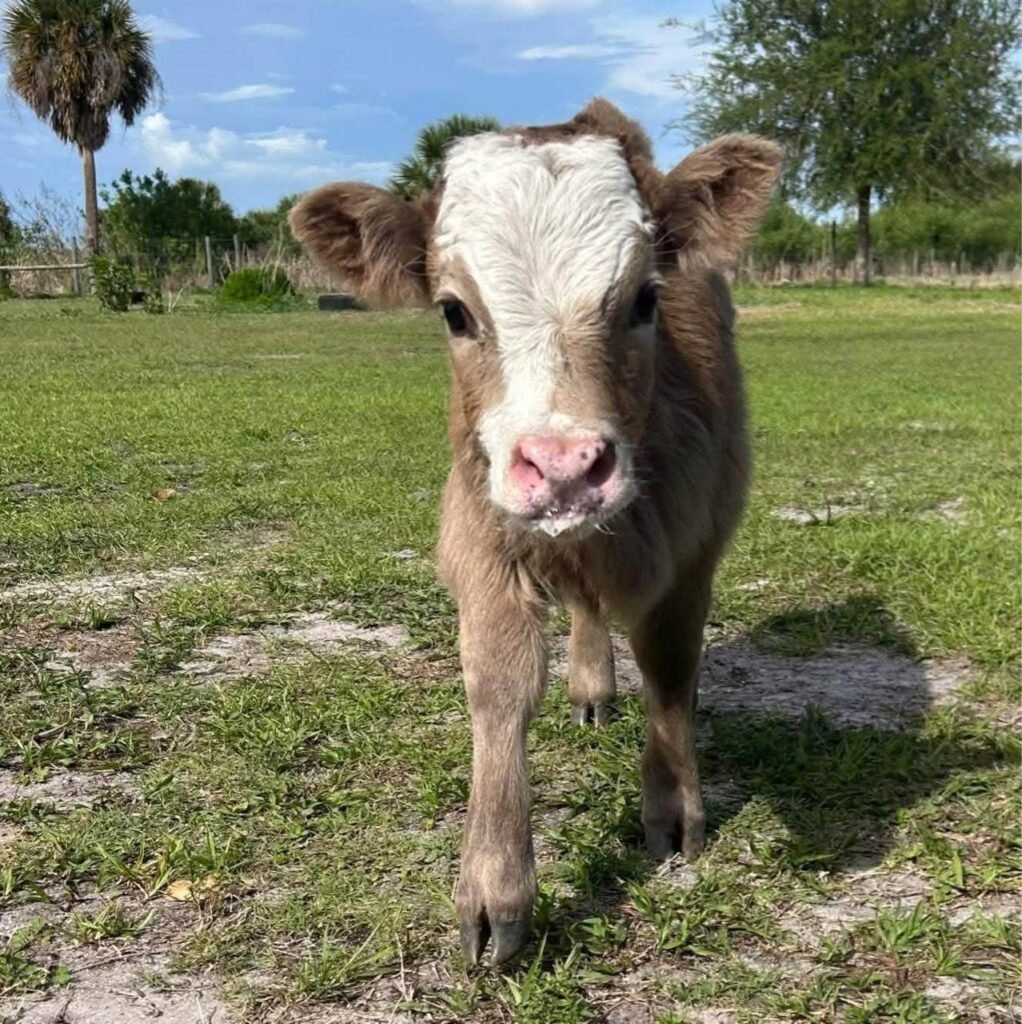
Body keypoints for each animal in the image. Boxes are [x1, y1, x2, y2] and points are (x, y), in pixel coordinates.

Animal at [290, 99, 781, 967]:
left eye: (645, 298)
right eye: (454, 310)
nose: (563, 466)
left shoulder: (694, 541)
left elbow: (670, 668)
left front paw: (673, 812)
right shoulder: (483, 531)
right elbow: (499, 685)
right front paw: (494, 892)